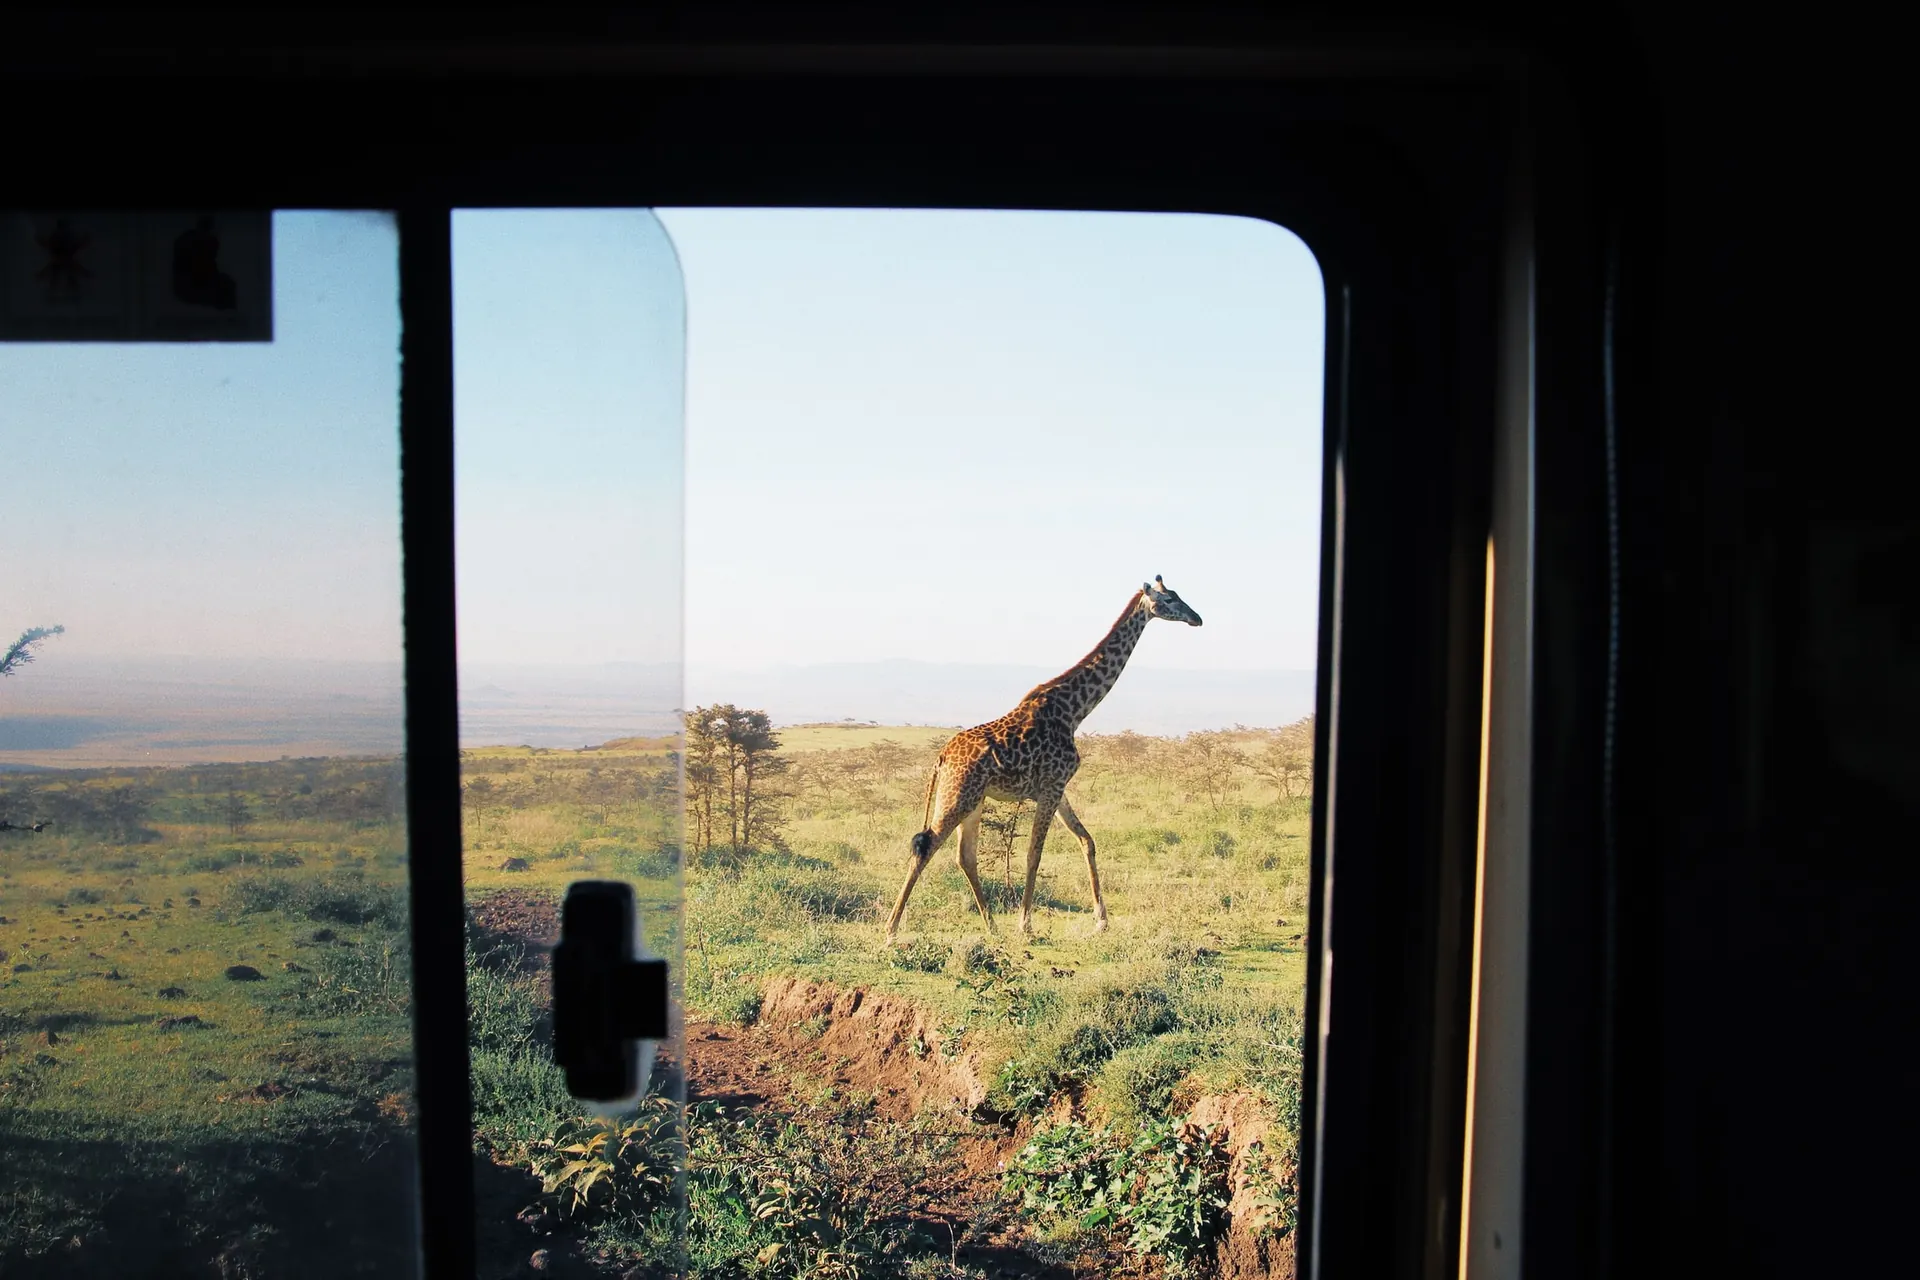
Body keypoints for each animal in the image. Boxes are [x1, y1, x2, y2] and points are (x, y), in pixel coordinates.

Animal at [884, 576, 1204, 944]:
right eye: (1169, 599)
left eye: (1178, 595)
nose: (1197, 618)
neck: (1074, 710)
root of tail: (942, 756)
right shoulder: (1051, 787)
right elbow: (1034, 854)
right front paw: (1026, 924)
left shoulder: (1057, 788)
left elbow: (1087, 841)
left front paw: (1102, 920)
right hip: (958, 795)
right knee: (926, 846)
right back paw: (891, 930)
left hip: (974, 800)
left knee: (965, 857)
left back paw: (991, 926)